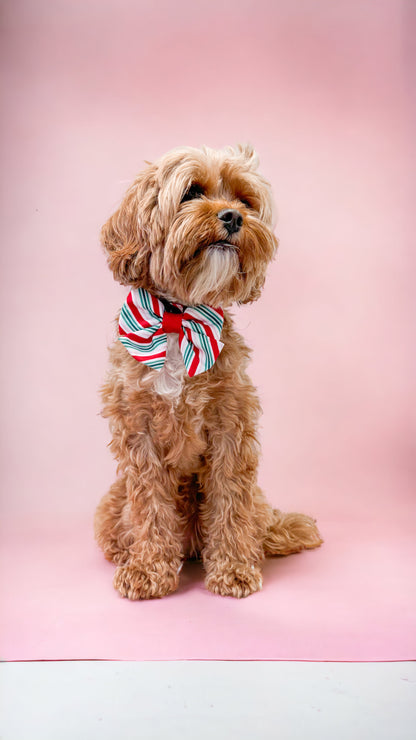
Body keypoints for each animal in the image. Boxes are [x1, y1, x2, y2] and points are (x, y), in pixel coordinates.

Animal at [94, 146, 322, 600]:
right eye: (192, 192)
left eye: (244, 199)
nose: (233, 217)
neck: (179, 319)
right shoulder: (139, 433)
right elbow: (149, 506)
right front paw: (147, 569)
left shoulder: (230, 425)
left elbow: (230, 499)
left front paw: (233, 569)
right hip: (111, 507)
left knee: (257, 521)